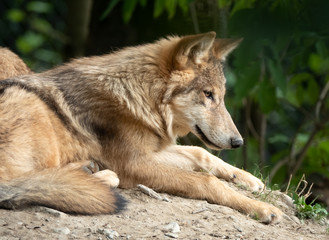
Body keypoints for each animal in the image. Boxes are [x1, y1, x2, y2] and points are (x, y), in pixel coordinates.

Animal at [0, 31, 282, 223]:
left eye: (221, 97)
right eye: (208, 94)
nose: (238, 142)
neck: (139, 98)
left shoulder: (151, 151)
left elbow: (201, 154)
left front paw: (248, 179)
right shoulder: (134, 164)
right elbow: (206, 181)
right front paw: (263, 209)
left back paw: (89, 171)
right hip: (30, 104)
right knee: (20, 183)